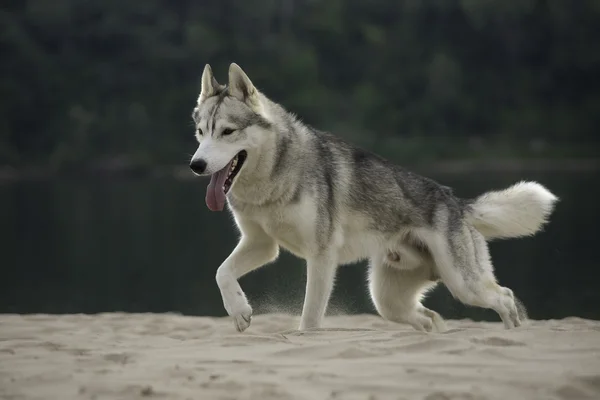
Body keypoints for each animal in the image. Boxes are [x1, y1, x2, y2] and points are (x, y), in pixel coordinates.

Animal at [189, 61, 556, 332]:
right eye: (201, 132)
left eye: (227, 132)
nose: (196, 165)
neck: (272, 179)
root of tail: (457, 202)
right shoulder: (261, 244)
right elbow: (222, 272)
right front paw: (239, 311)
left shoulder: (321, 257)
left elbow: (309, 320)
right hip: (388, 300)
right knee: (429, 317)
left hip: (463, 285)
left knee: (504, 296)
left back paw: (513, 332)